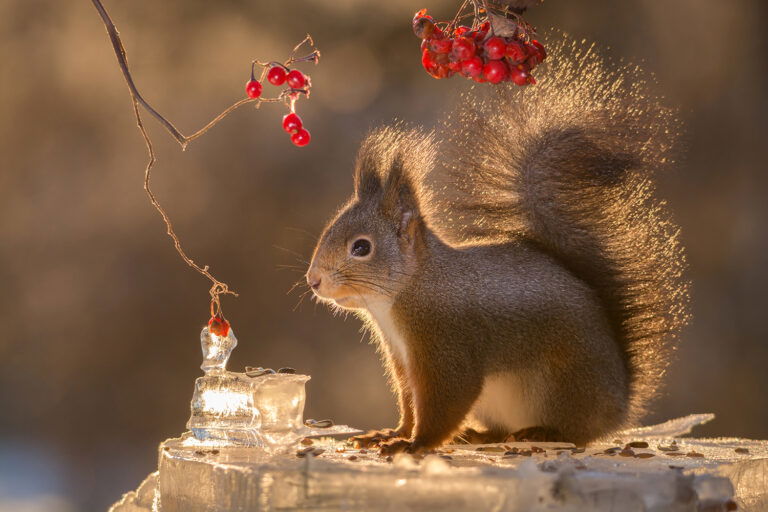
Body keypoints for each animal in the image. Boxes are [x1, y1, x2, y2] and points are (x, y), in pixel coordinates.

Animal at [304, 42, 688, 454]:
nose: (314, 281)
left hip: (562, 387)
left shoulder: (447, 344)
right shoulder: (403, 361)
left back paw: (544, 432)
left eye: (361, 248)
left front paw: (414, 444)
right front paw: (391, 433)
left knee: (577, 432)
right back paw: (482, 434)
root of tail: (619, 404)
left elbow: (445, 401)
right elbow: (409, 403)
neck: (410, 289)